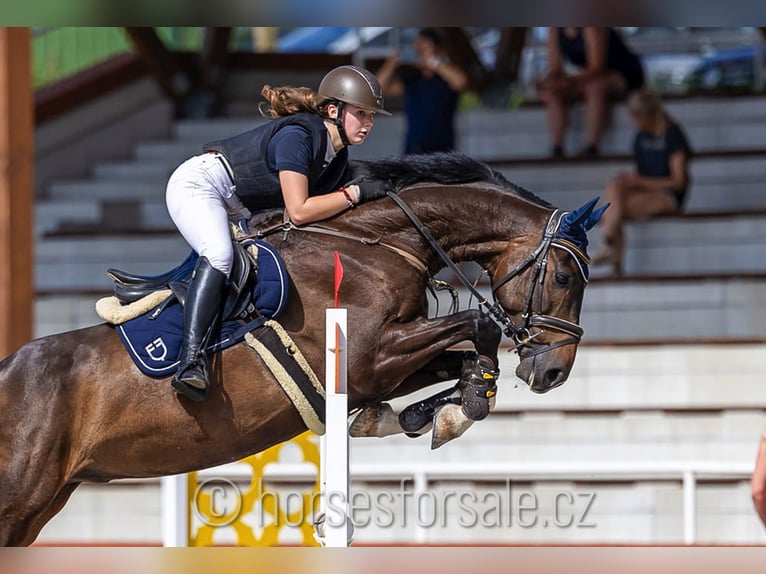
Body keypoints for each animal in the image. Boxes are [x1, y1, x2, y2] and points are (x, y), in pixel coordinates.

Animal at [0, 154, 608, 548]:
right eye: (561, 277)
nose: (554, 372)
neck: (377, 242)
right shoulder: (367, 355)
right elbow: (478, 327)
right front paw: (456, 406)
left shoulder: (376, 369)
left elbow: (458, 357)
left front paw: (432, 412)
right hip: (18, 499)